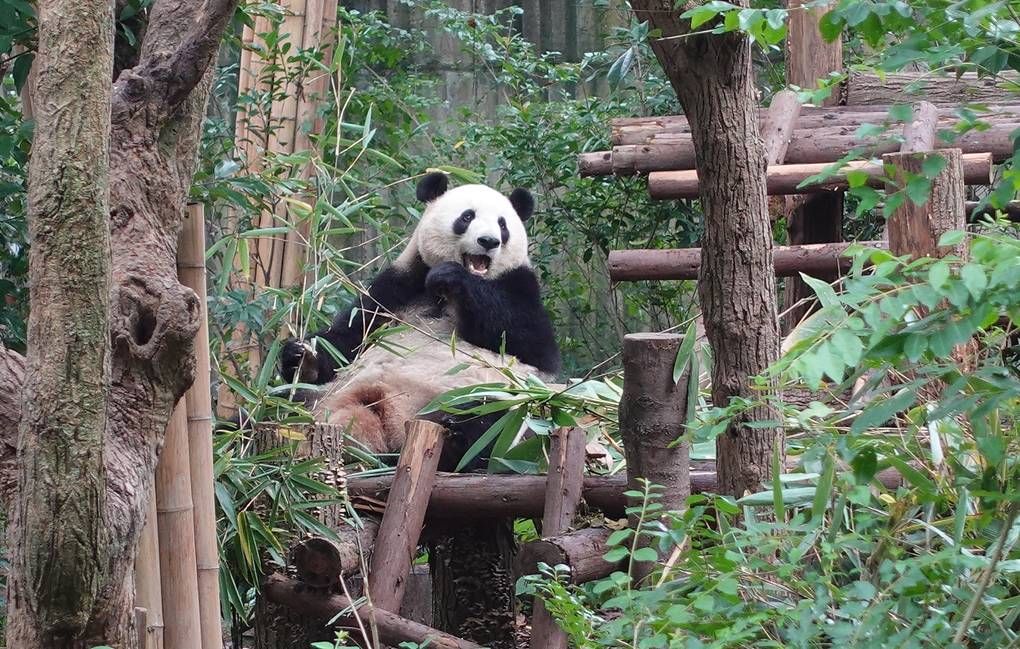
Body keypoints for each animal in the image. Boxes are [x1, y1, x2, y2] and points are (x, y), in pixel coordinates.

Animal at [279, 169, 563, 469]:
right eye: (467, 217)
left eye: (503, 225)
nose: (489, 241)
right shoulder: (396, 289)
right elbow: (348, 339)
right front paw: (301, 356)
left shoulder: (520, 286)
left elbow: (529, 344)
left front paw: (451, 276)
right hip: (325, 396)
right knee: (284, 400)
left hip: (478, 397)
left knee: (492, 420)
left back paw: (457, 434)